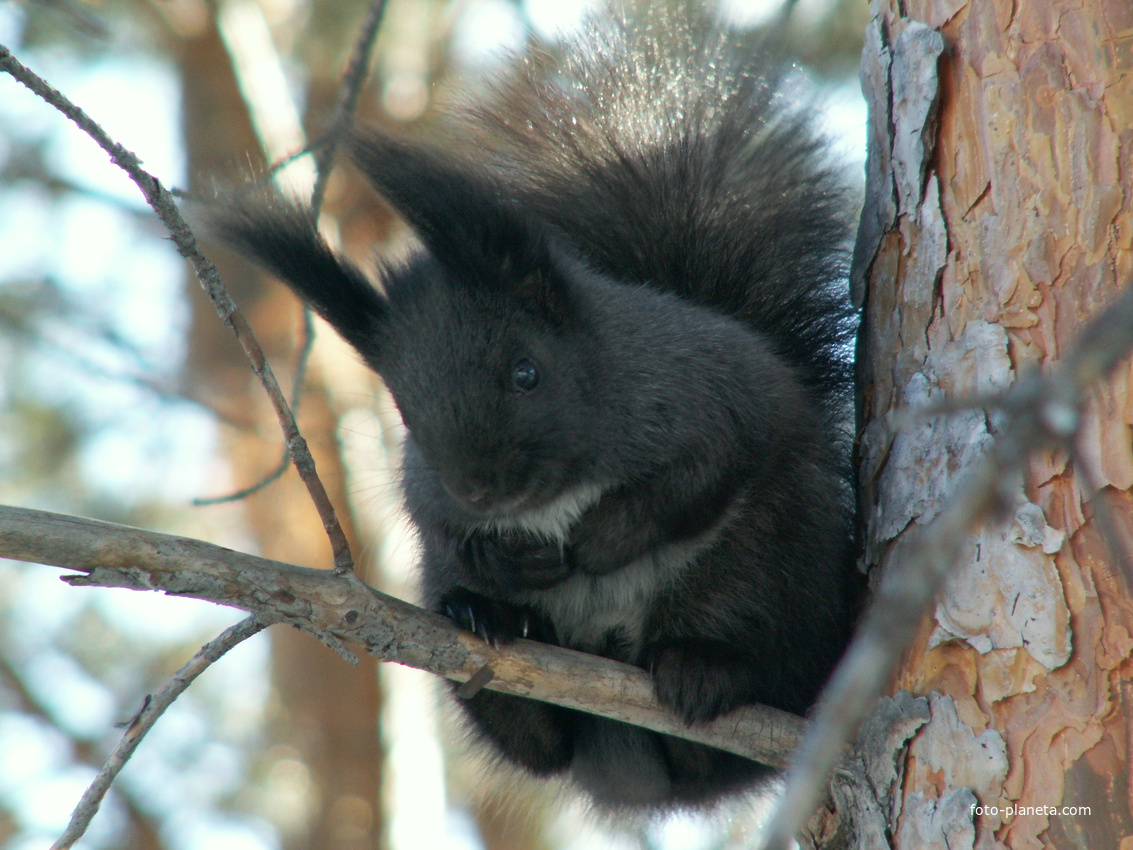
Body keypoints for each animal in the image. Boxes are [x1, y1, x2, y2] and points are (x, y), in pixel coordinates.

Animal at [214, 3, 856, 811]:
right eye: (404, 408)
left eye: (526, 373)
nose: (482, 489)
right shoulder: (429, 495)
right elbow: (442, 526)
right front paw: (509, 559)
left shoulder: (718, 399)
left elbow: (697, 481)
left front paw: (599, 542)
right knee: (537, 744)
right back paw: (487, 634)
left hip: (774, 566)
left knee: (752, 684)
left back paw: (705, 670)